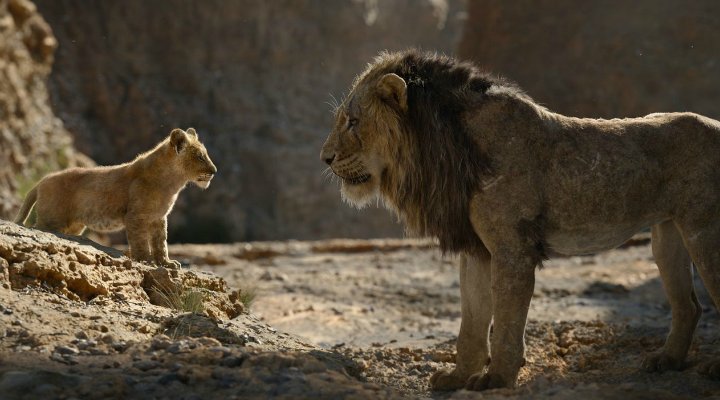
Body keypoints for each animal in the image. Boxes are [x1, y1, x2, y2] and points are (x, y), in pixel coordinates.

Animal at [320, 50, 720, 390]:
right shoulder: (476, 249)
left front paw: (497, 378)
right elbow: (471, 319)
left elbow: (506, 320)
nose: (325, 157)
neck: (441, 149)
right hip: (667, 235)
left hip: (704, 231)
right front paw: (457, 377)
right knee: (689, 306)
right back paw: (666, 361)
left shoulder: (512, 249)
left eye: (353, 122)